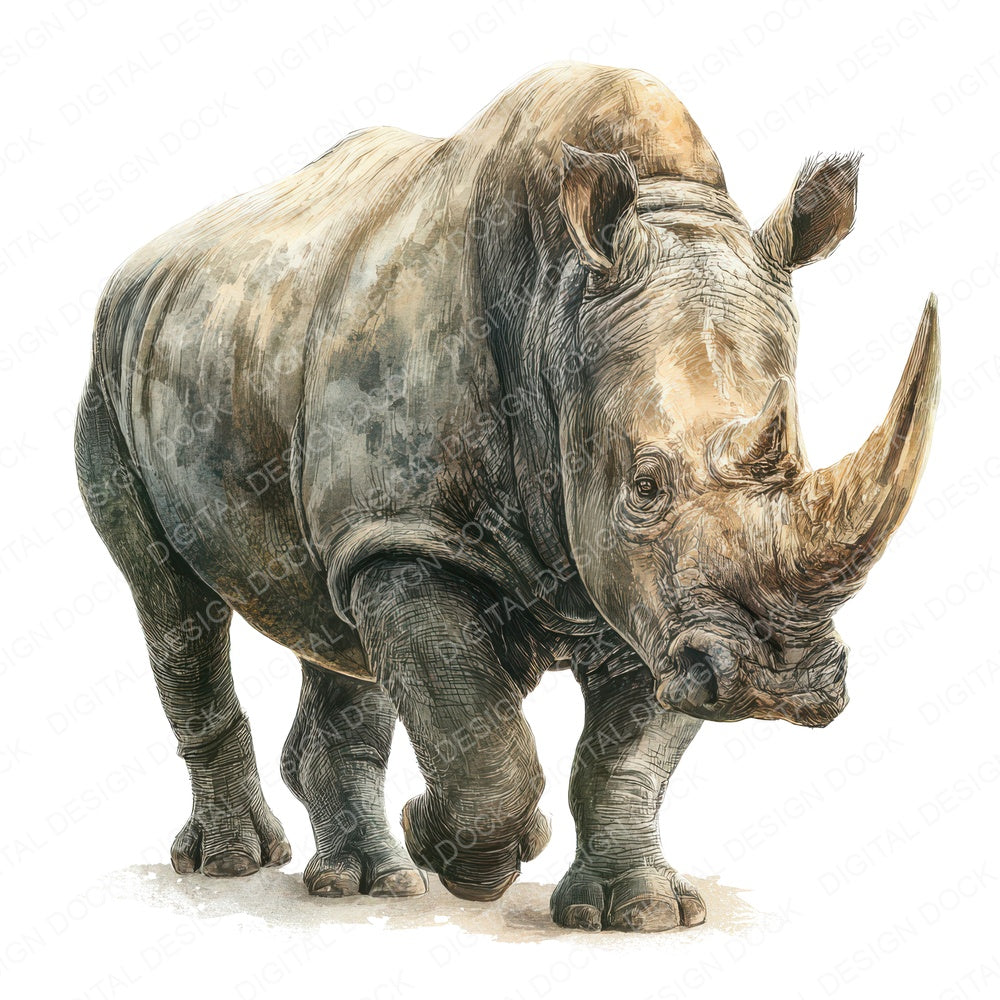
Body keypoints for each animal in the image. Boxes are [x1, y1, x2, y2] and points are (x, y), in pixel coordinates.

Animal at [75, 62, 939, 931]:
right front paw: (460, 850)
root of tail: (139, 265)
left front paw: (641, 913)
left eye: (796, 470)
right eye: (646, 487)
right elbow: (481, 739)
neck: (558, 305)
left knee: (334, 618)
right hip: (110, 370)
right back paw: (237, 865)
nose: (775, 679)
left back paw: (370, 882)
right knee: (174, 603)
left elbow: (625, 756)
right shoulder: (417, 533)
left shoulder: (655, 600)